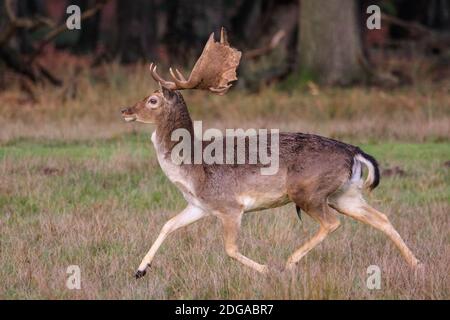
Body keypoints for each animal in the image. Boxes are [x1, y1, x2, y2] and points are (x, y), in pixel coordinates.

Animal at [121, 28, 420, 278]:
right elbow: (167, 225)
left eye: (152, 100)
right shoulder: (200, 205)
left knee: (332, 223)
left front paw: (266, 269)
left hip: (308, 191)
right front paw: (140, 270)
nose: (125, 110)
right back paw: (417, 264)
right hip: (344, 193)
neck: (192, 171)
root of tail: (354, 151)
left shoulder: (230, 205)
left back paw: (289, 262)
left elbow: (229, 249)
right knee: (381, 218)